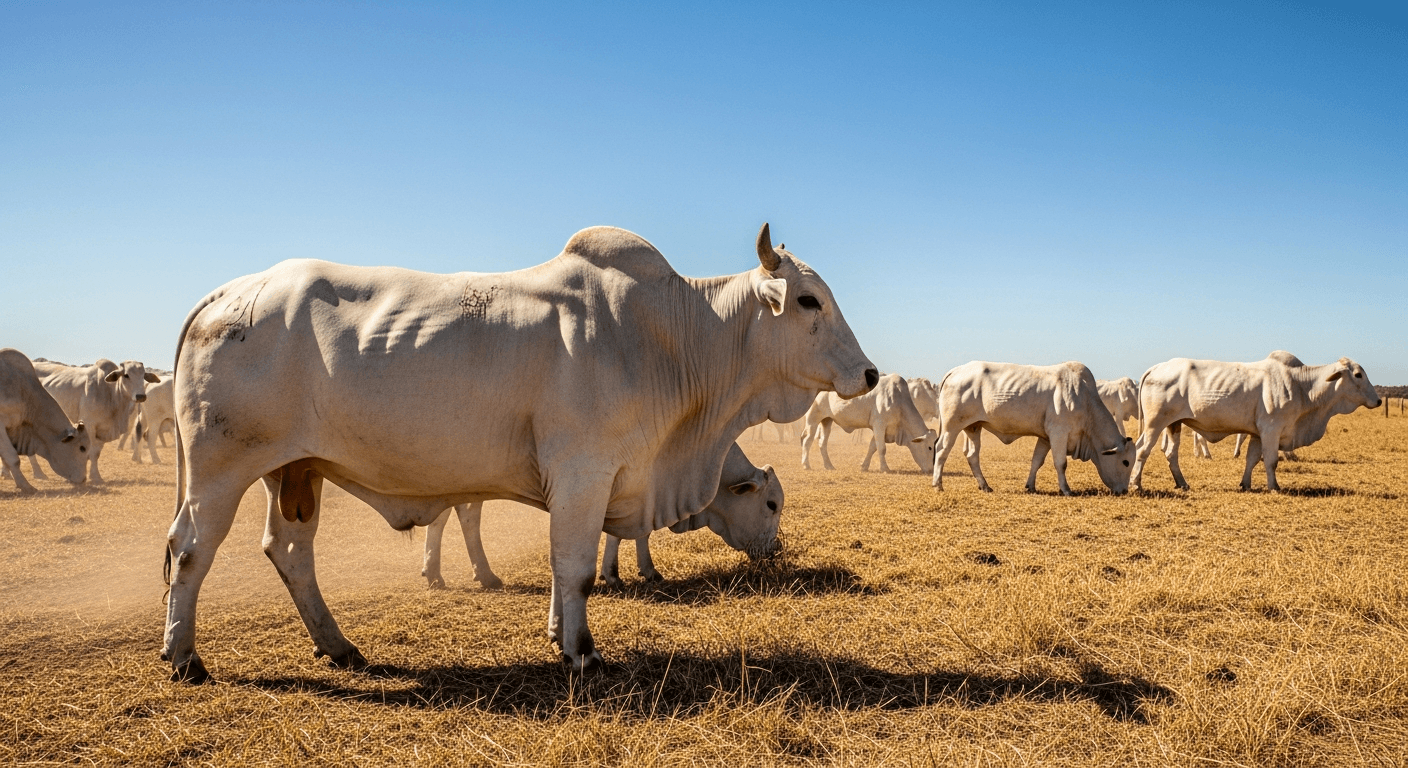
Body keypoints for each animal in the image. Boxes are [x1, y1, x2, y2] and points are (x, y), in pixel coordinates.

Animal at [422, 443, 783, 589]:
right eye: (771, 504)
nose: (777, 550)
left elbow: (634, 533)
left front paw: (638, 570)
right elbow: (626, 533)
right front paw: (616, 573)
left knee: (462, 515)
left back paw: (475, 573)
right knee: (448, 517)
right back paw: (442, 573)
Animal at [800, 373, 934, 473]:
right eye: (929, 447)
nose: (932, 470)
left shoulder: (880, 429)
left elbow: (872, 447)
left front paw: (864, 466)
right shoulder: (879, 425)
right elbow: (881, 448)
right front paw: (885, 468)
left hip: (827, 421)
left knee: (822, 443)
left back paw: (829, 466)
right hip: (812, 420)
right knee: (808, 441)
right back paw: (806, 465)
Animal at [931, 362, 1135, 495]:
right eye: (1125, 462)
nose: (1124, 491)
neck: (1084, 400)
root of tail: (955, 371)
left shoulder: (1045, 438)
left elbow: (1037, 461)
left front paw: (1031, 486)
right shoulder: (1059, 433)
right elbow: (1061, 463)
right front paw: (1066, 489)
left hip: (973, 427)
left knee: (972, 455)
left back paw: (985, 486)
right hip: (951, 426)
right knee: (942, 450)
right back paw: (938, 484)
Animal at [1130, 351, 1376, 492]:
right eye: (1358, 375)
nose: (1379, 400)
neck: (1301, 386)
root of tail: (1158, 367)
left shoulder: (1259, 433)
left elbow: (1251, 460)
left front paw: (1245, 484)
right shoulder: (1271, 430)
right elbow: (1271, 461)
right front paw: (1274, 486)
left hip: (1174, 424)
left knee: (1170, 453)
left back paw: (1182, 483)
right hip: (1155, 424)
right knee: (1142, 449)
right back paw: (1135, 484)